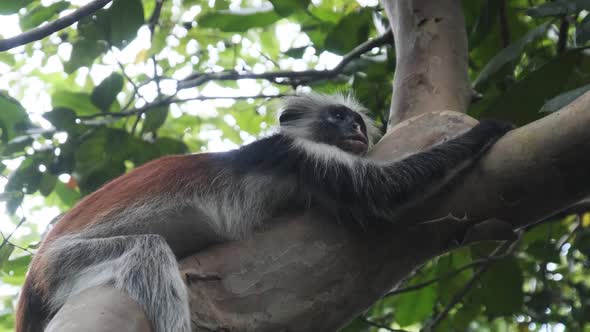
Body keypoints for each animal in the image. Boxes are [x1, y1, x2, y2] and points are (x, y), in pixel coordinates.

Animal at [13, 93, 512, 332]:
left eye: (355, 120)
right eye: (337, 116)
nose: (355, 129)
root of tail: (34, 272)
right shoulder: (296, 153)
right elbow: (383, 192)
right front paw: (490, 127)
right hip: (64, 264)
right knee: (147, 252)